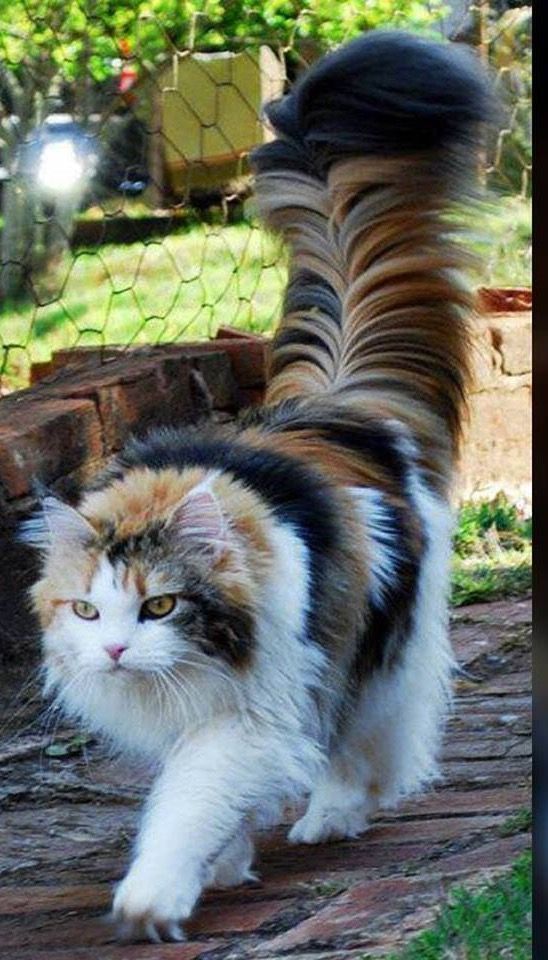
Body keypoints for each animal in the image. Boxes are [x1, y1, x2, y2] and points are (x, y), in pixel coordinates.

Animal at [20, 31, 492, 944]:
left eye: (161, 605)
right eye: (86, 611)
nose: (117, 651)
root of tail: (334, 407)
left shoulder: (250, 714)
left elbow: (188, 803)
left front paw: (154, 896)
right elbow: (210, 804)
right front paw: (226, 861)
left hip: (373, 644)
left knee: (368, 737)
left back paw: (336, 813)